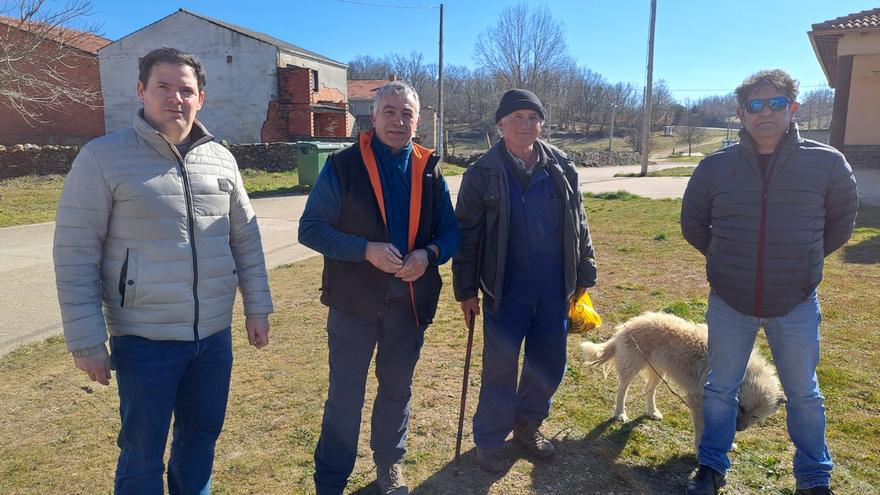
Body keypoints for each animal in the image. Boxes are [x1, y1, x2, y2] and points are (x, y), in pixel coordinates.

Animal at [580, 314, 788, 450]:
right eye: (742, 408)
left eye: (756, 416)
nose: (739, 428)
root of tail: (628, 324)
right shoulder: (698, 401)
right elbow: (702, 428)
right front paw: (700, 448)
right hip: (632, 367)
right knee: (621, 390)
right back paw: (620, 413)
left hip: (659, 371)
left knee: (649, 390)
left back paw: (652, 411)